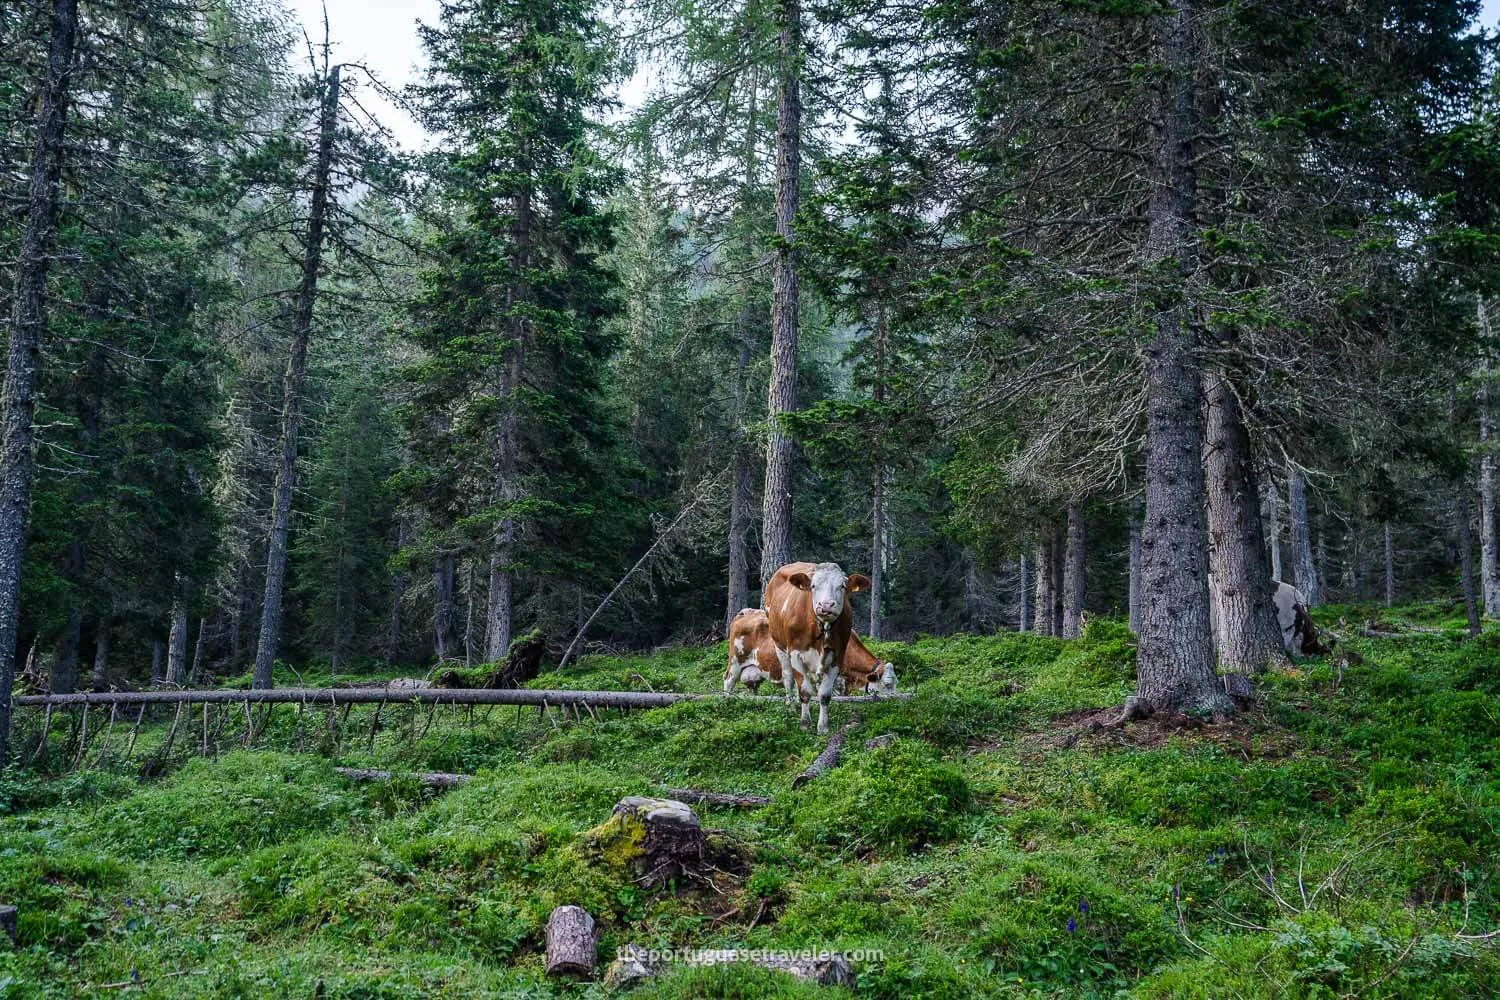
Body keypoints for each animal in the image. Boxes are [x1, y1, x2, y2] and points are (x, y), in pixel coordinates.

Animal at [763, 561, 870, 734]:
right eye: (813, 586)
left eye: (842, 586)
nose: (826, 605)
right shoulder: (795, 653)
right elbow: (805, 691)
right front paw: (805, 723)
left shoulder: (838, 655)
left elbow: (824, 694)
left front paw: (823, 726)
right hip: (779, 645)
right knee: (788, 677)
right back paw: (791, 706)